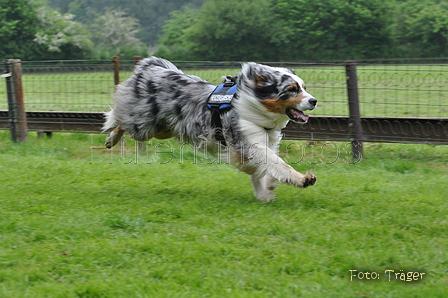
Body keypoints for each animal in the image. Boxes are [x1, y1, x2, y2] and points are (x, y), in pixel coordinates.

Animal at [103, 57, 316, 203]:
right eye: (291, 89)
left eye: (304, 87)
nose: (314, 101)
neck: (256, 108)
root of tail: (152, 67)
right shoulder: (247, 143)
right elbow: (278, 164)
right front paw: (302, 179)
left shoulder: (264, 144)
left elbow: (262, 170)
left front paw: (264, 192)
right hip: (144, 125)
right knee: (120, 118)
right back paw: (111, 138)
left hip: (163, 129)